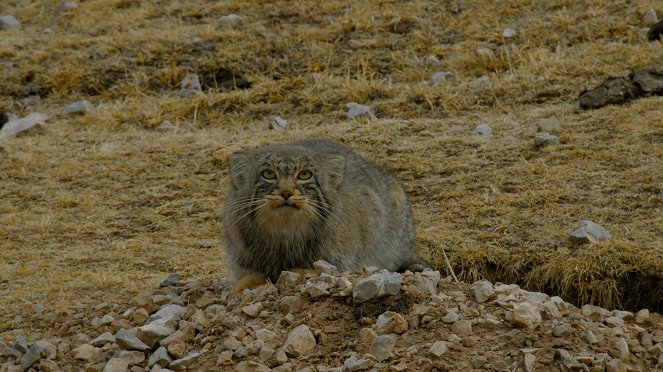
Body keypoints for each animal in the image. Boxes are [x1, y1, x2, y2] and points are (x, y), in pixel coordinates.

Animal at [223, 140, 430, 290]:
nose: (286, 192)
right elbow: (247, 278)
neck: (286, 234)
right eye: (268, 174)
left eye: (304, 175)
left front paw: (299, 272)